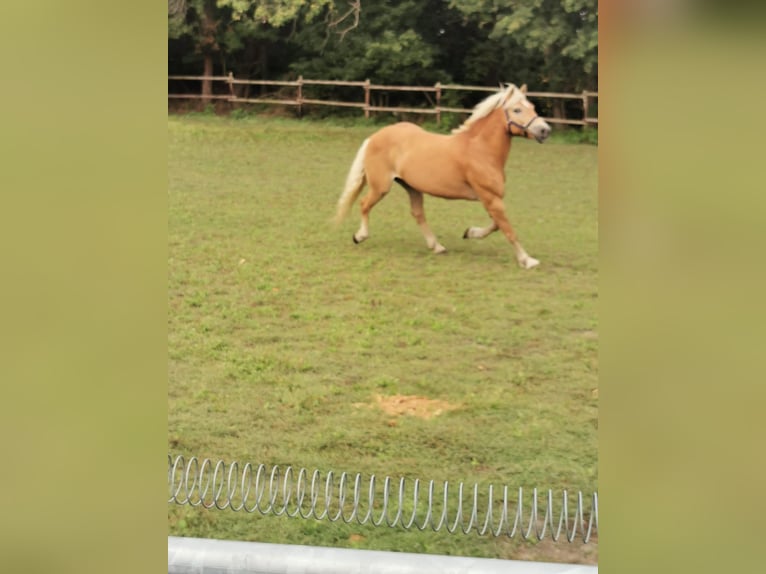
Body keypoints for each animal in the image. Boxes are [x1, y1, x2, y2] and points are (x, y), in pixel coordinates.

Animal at [336, 83, 552, 270]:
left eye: (532, 107)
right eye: (517, 110)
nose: (545, 130)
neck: (480, 150)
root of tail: (374, 137)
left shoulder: (491, 198)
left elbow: (496, 225)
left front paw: (469, 232)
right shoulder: (490, 197)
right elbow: (507, 229)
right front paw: (527, 260)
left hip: (412, 187)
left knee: (418, 214)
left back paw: (437, 246)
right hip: (381, 186)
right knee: (364, 204)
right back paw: (360, 236)